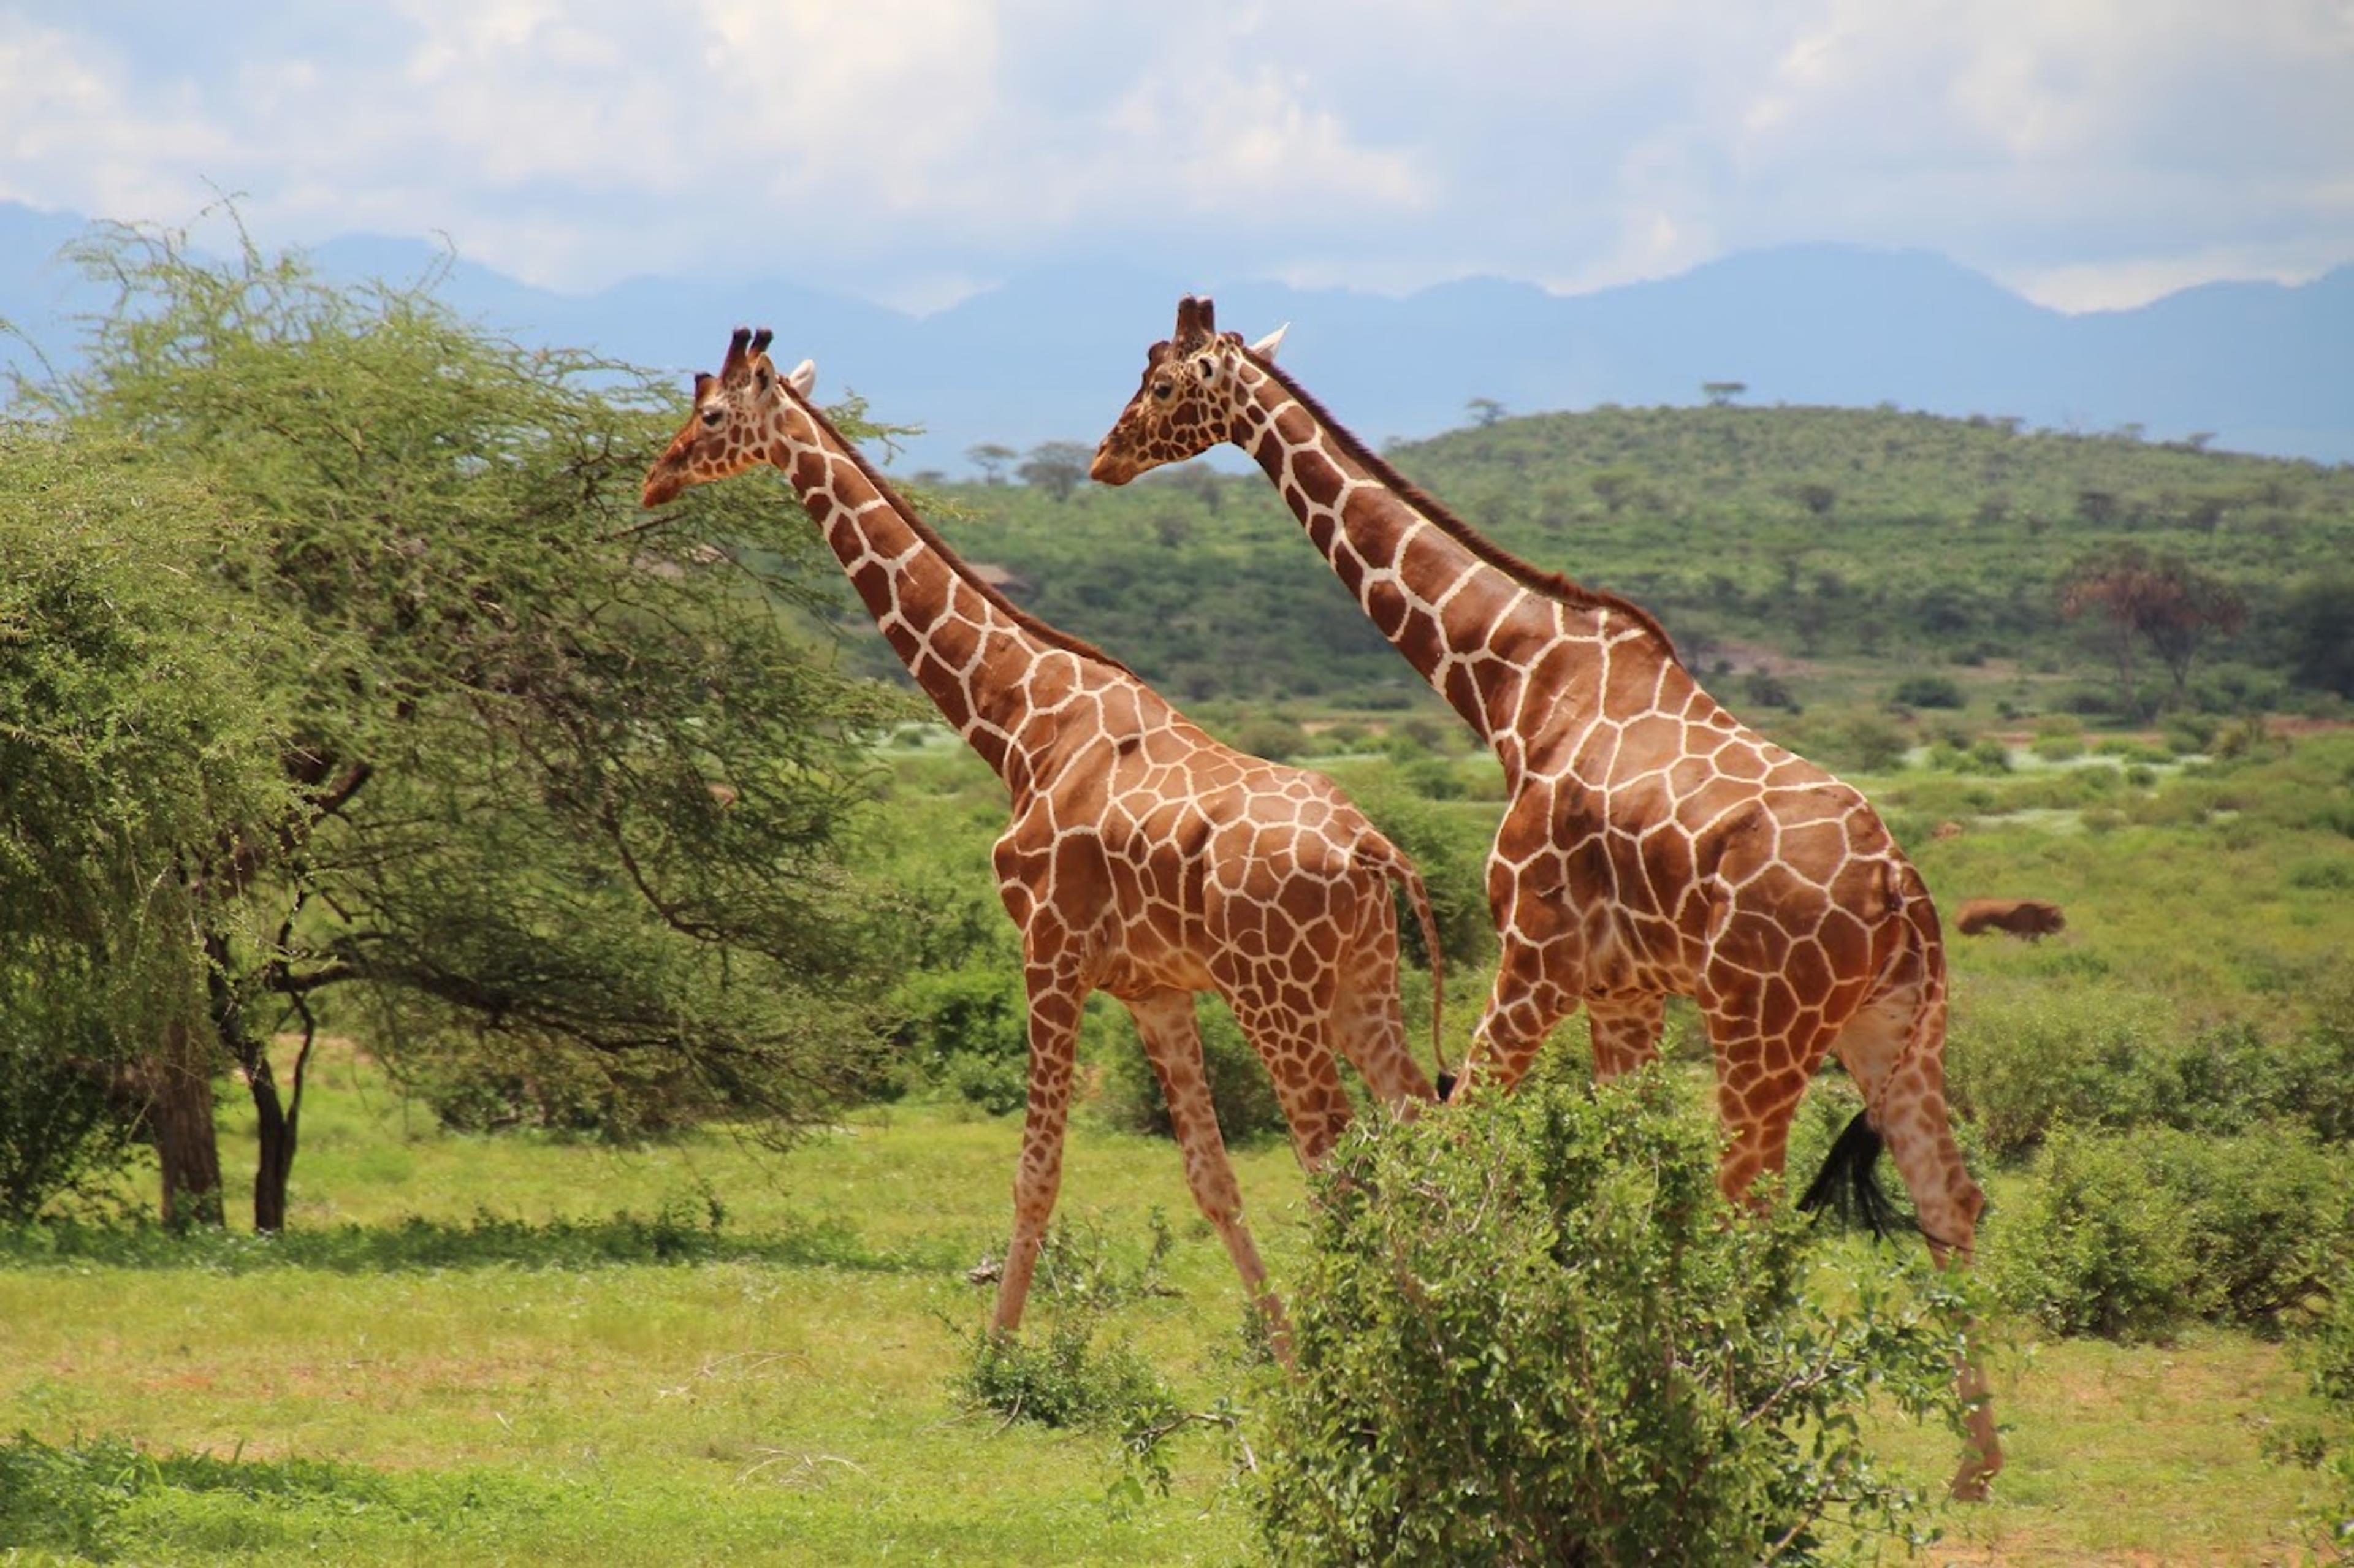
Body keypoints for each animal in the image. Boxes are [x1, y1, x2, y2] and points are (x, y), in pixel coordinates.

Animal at [642, 327, 1444, 1350]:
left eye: (710, 416)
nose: (656, 478)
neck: (1019, 719)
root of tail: (1374, 849)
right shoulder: (1153, 988)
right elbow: (1211, 1180)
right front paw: (1288, 1351)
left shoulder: (1050, 952)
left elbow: (1037, 1174)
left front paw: (1000, 1354)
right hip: (1361, 984)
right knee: (1424, 1129)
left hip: (1277, 996)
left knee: (1338, 1161)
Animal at [1088, 297, 2001, 1499]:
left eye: (1157, 385)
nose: (1101, 458)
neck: (1515, 686)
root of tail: (1903, 889)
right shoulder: (1623, 991)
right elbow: (1625, 1185)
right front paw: (1620, 1370)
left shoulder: (1535, 954)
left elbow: (1459, 1132)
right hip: (1893, 1026)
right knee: (1949, 1198)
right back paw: (1974, 1467)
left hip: (1763, 1023)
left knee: (1752, 1207)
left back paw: (1738, 1428)